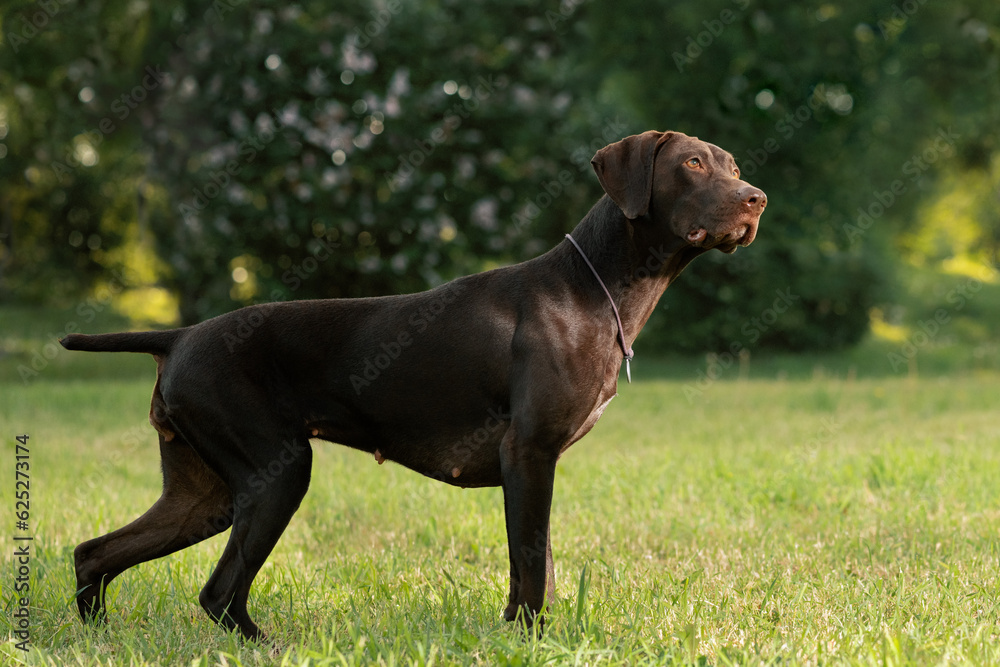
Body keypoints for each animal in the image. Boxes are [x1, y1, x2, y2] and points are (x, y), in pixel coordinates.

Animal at [62, 130, 764, 640]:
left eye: (732, 165)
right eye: (693, 163)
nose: (755, 198)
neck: (593, 287)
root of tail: (178, 336)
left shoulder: (531, 464)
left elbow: (533, 566)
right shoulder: (529, 453)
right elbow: (532, 562)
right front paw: (533, 640)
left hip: (204, 494)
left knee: (94, 553)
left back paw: (98, 637)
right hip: (276, 473)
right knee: (217, 594)